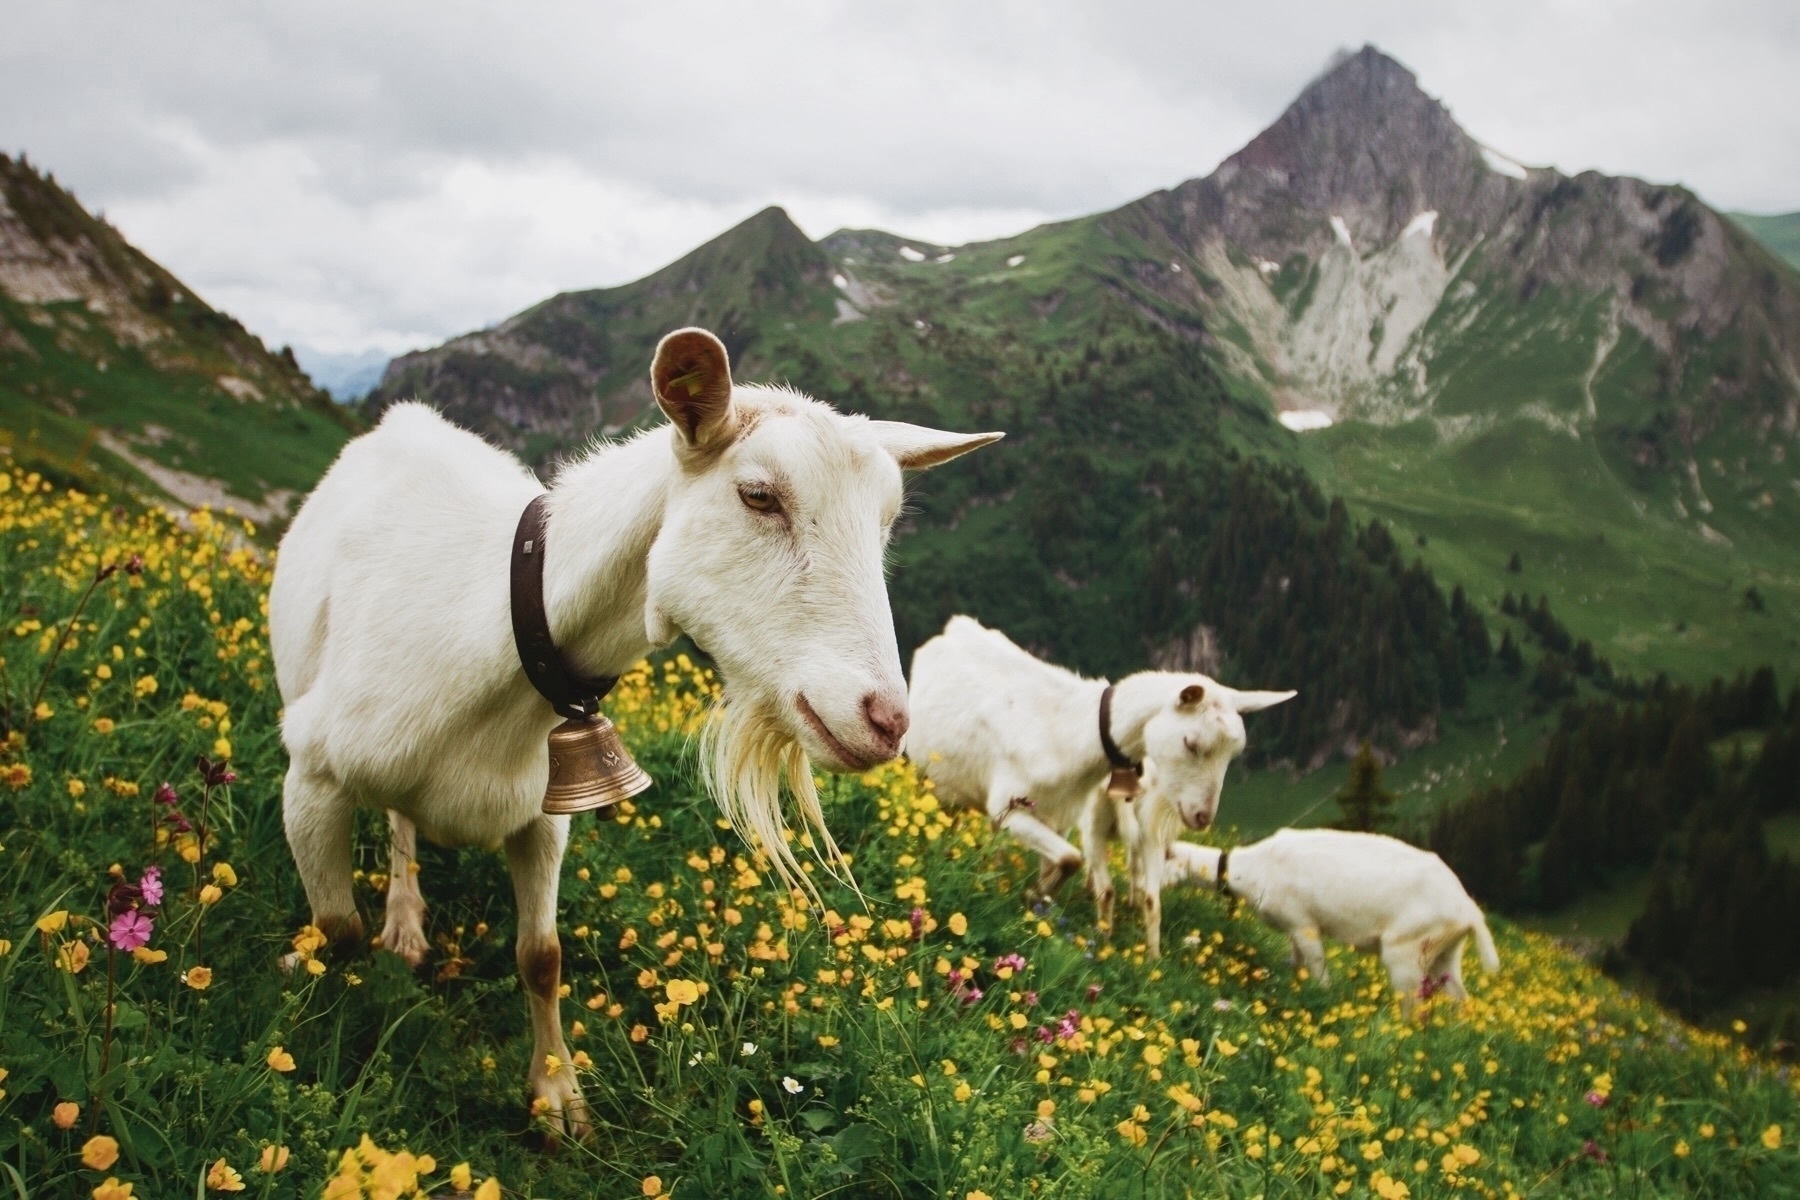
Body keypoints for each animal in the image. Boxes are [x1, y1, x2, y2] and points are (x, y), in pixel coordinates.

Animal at [907, 615, 1288, 949]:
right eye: (1191, 743)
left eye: (1234, 754)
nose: (1201, 817)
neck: (1071, 732)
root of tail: (953, 629)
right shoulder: (1009, 807)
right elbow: (1072, 858)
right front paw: (1037, 896)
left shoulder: (1059, 816)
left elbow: (1062, 861)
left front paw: (1037, 898)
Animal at [1159, 834, 1497, 1014]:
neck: (1250, 870)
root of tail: (1468, 910)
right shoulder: (1293, 929)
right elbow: (1295, 963)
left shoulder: (1303, 924)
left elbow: (1318, 970)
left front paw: (1321, 996)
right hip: (1444, 953)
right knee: (1460, 999)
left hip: (1407, 951)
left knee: (1412, 1006)